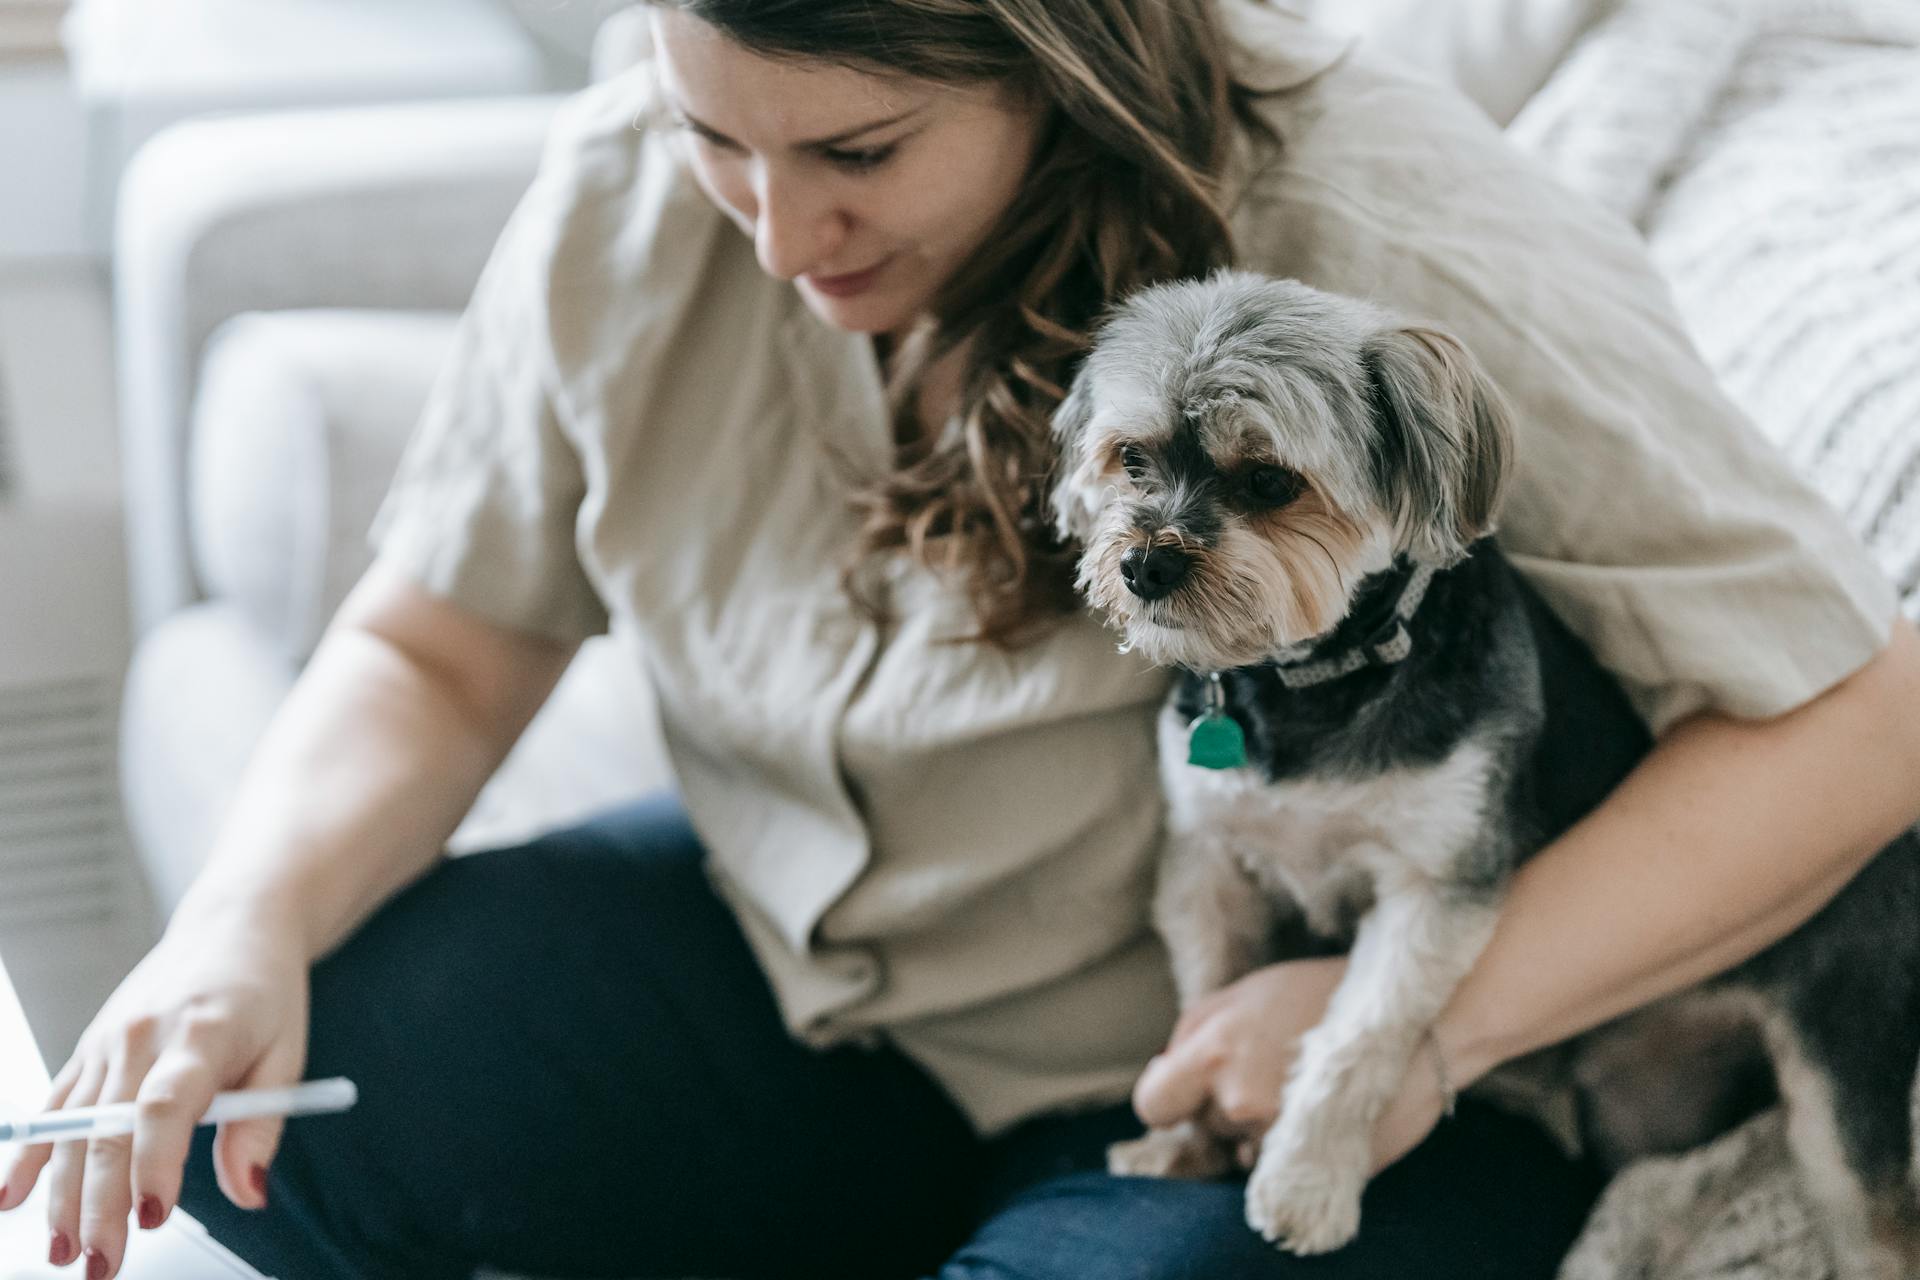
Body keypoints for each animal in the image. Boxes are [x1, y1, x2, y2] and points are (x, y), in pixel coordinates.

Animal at [1052, 268, 1920, 1274]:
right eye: (1132, 459)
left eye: (1270, 481)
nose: (1145, 564)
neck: (1314, 680)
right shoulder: (1210, 861)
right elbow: (1210, 997)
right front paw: (1183, 1144)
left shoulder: (1438, 880)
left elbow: (1359, 1035)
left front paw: (1306, 1182)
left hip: (1841, 1064)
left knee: (1872, 1219)